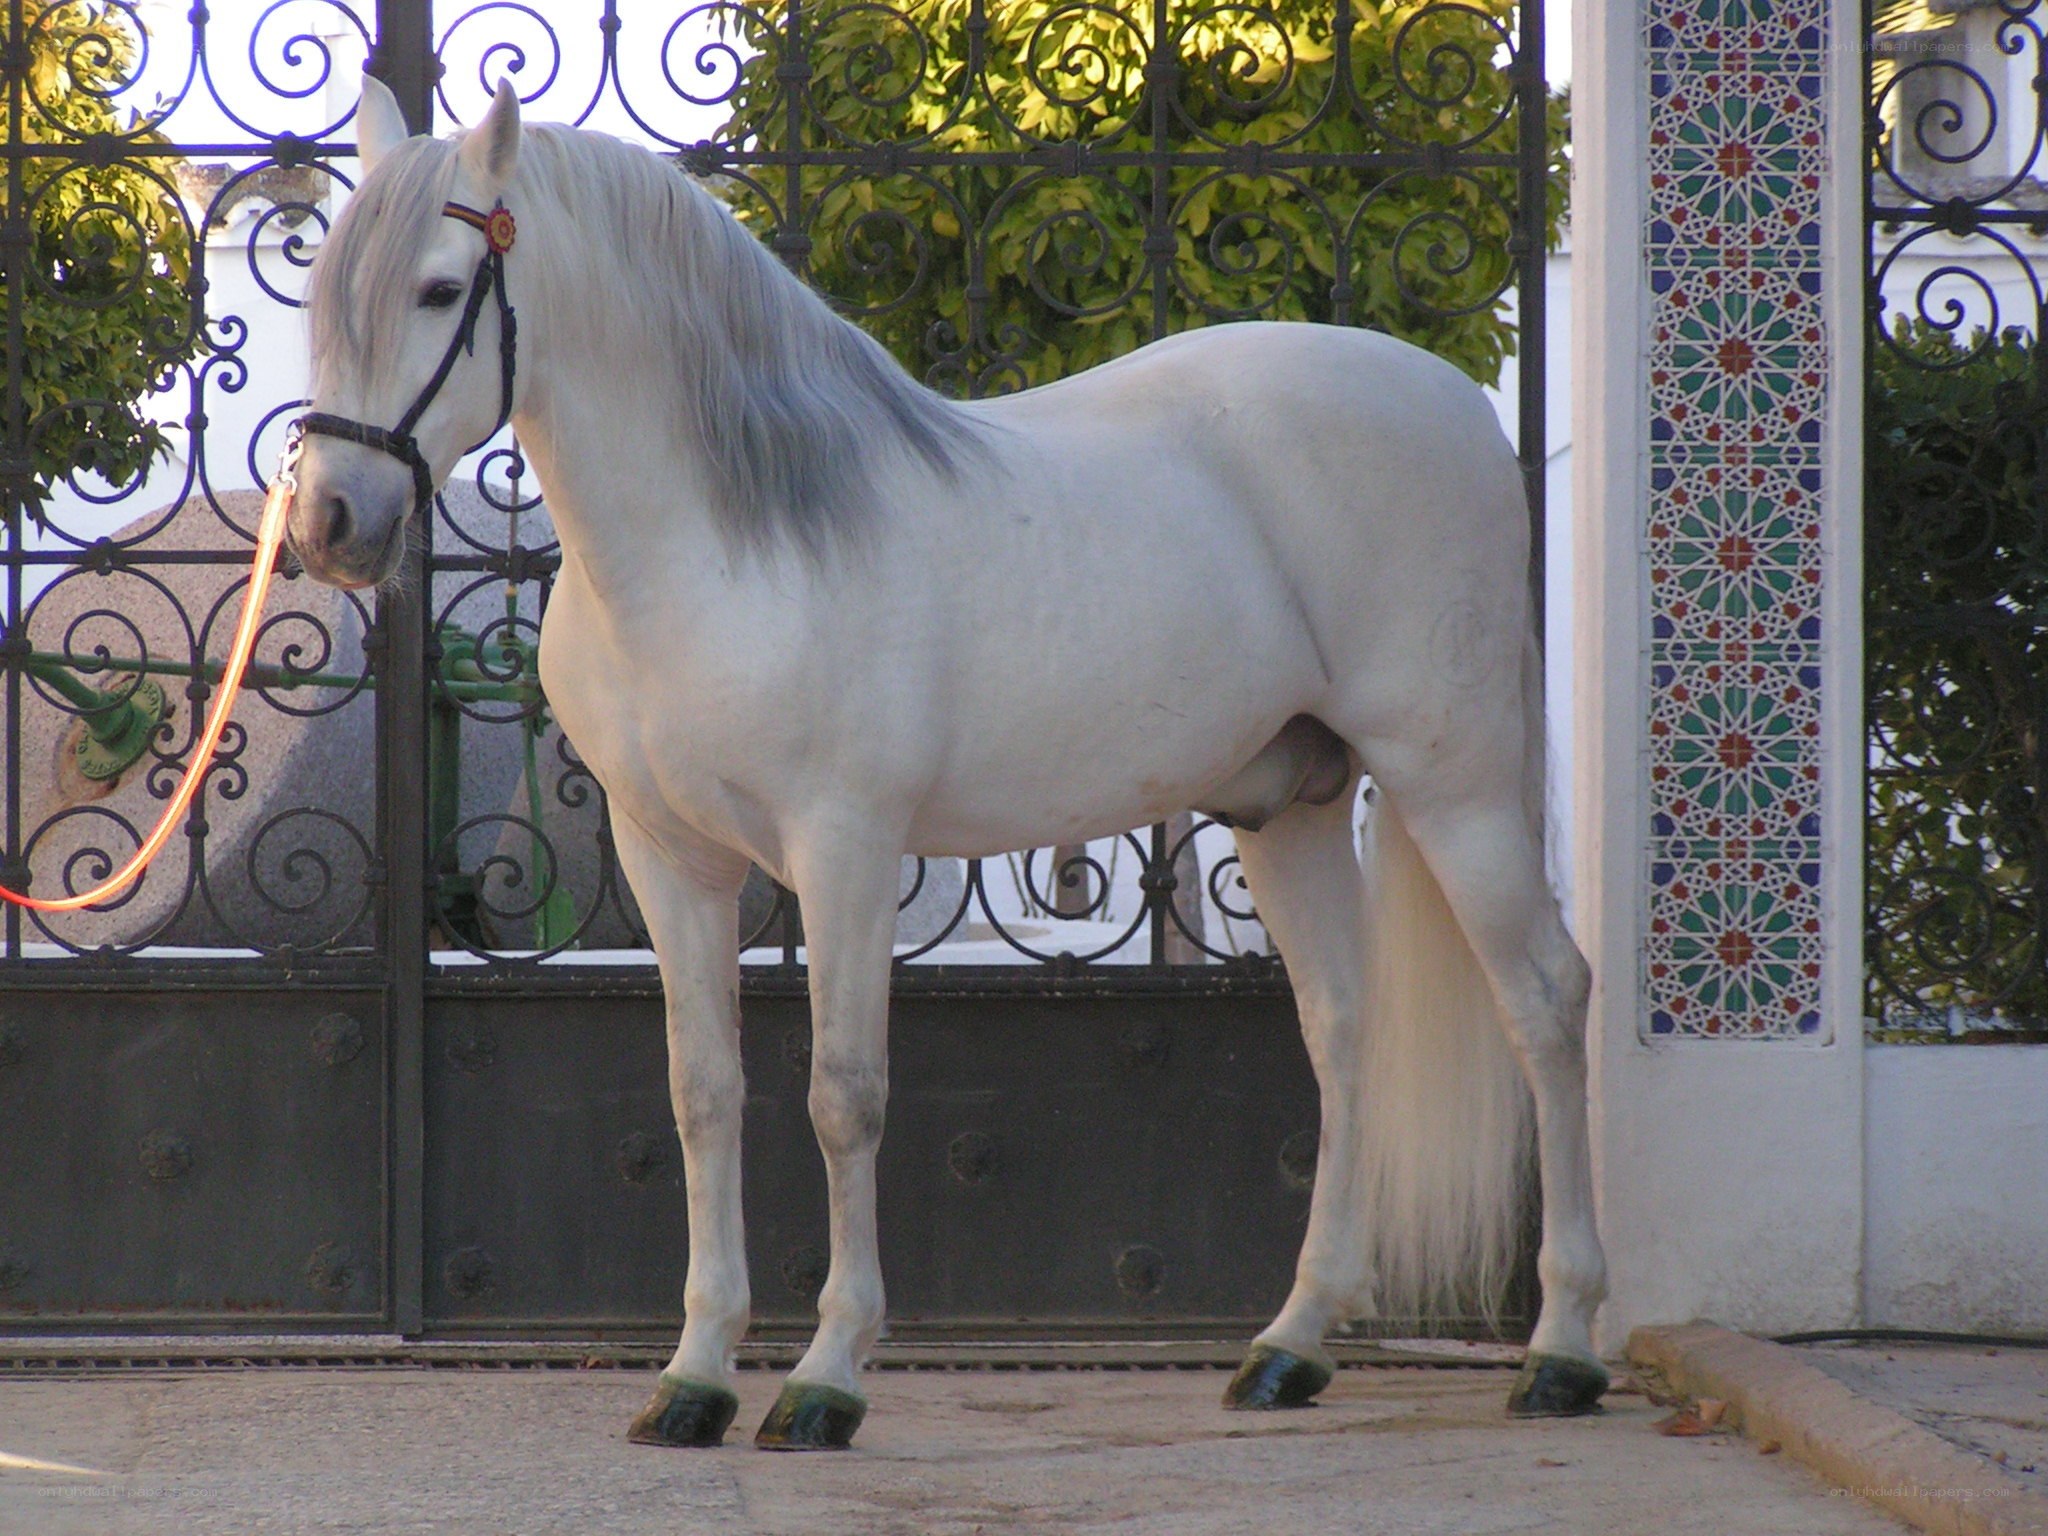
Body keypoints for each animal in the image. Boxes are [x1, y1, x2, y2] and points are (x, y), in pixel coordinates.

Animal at [291, 74, 1610, 1450]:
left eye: (441, 289)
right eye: (324, 287)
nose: (331, 524)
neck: (721, 543)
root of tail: (1456, 405)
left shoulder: (846, 850)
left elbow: (843, 1095)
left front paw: (824, 1378)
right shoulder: (672, 863)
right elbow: (702, 1096)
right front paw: (695, 1376)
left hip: (1452, 782)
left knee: (1544, 1000)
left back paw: (1560, 1352)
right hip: (1287, 807)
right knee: (1343, 1027)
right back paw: (1289, 1347)